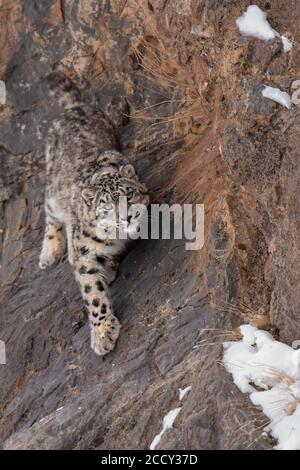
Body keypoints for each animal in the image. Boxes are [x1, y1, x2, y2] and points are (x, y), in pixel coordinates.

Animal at [38, 70, 149, 352]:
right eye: (106, 206)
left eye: (129, 195)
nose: (127, 217)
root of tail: (75, 108)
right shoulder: (86, 254)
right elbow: (93, 293)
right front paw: (102, 333)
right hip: (53, 194)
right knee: (50, 216)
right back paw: (51, 253)